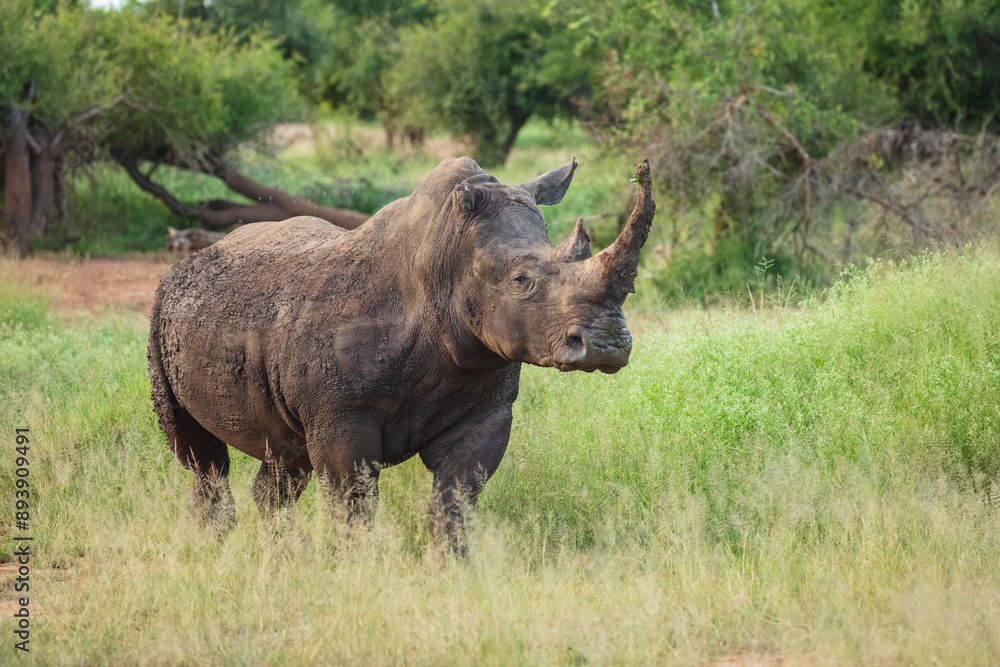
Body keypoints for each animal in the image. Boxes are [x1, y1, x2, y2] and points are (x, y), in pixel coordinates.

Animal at [148, 156, 655, 549]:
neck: (445, 262)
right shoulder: (339, 412)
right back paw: (213, 543)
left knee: (284, 458)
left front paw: (451, 570)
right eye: (520, 280)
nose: (606, 344)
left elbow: (456, 497)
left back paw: (283, 551)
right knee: (200, 456)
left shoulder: (486, 406)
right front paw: (357, 570)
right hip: (162, 312)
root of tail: (195, 258)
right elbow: (353, 499)